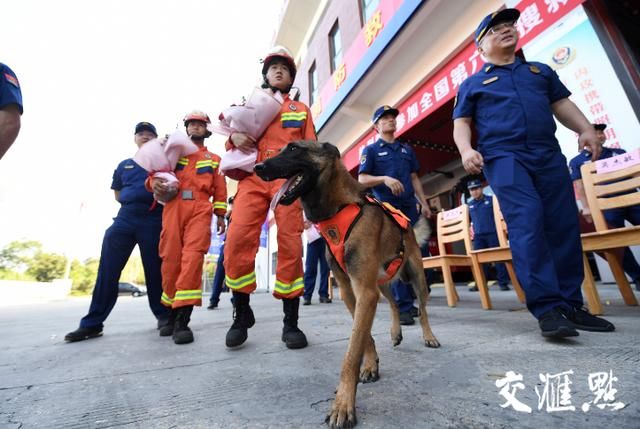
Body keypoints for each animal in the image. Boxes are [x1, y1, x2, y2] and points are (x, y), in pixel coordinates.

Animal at [255, 140, 440, 428]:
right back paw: (395, 332)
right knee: (394, 302)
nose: (258, 167)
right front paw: (371, 365)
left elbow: (351, 352)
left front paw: (343, 404)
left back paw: (429, 336)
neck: (339, 208)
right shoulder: (350, 291)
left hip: (416, 277)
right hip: (381, 282)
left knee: (422, 309)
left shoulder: (364, 291)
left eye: (294, 148)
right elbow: (363, 338)